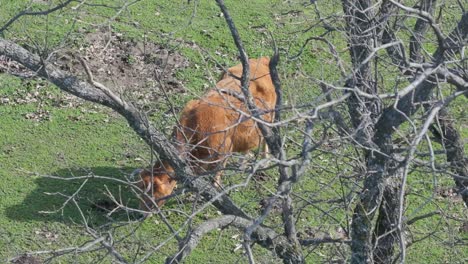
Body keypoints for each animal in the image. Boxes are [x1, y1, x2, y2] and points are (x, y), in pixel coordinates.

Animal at [133, 57, 276, 210]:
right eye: (140, 193)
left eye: (153, 195)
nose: (140, 212)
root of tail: (261, 60)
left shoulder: (222, 153)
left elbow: (216, 176)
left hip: (270, 118)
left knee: (267, 139)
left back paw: (265, 160)